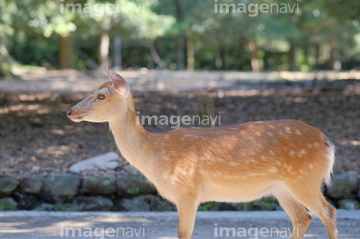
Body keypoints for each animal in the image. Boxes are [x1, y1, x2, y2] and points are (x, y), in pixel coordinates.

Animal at [67, 67, 338, 239]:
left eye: (101, 95)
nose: (70, 110)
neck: (156, 156)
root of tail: (327, 143)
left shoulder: (187, 191)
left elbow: (183, 233)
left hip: (305, 179)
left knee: (328, 212)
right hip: (282, 188)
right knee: (303, 219)